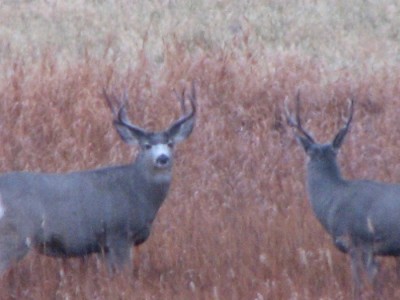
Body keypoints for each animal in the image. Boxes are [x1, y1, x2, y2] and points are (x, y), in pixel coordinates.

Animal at [0, 83, 197, 276]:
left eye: (171, 143)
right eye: (146, 145)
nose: (162, 158)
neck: (138, 192)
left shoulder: (104, 246)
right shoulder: (118, 234)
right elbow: (125, 276)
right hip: (14, 236)